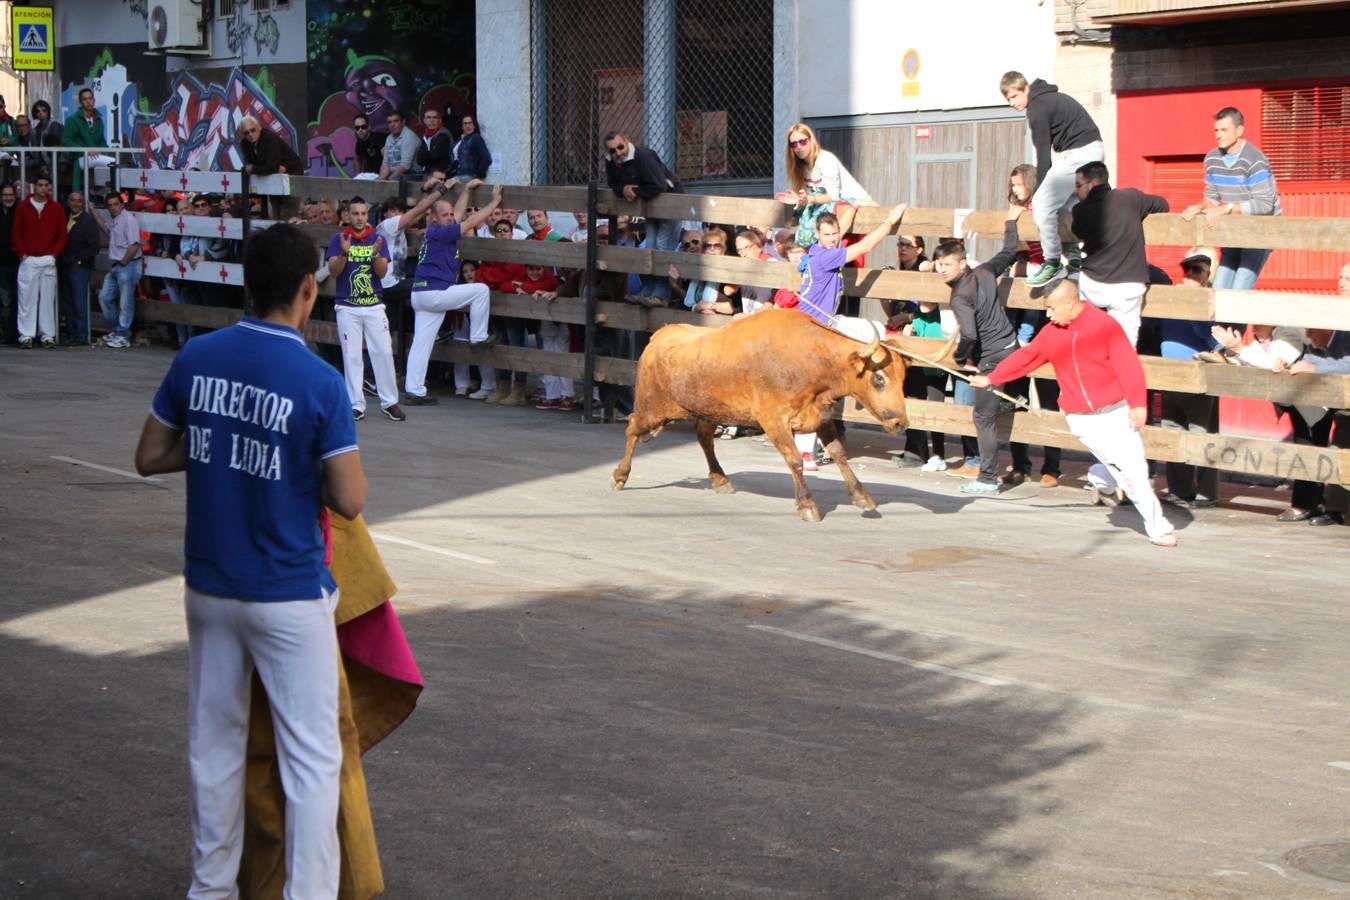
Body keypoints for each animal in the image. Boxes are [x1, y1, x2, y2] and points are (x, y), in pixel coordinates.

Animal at [610, 307, 907, 520]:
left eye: (903, 378)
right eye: (878, 378)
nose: (900, 422)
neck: (812, 360)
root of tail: (658, 336)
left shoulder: (821, 417)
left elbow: (839, 453)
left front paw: (861, 496)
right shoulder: (774, 420)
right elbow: (795, 459)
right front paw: (807, 505)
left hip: (708, 410)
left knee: (704, 437)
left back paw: (720, 479)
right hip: (653, 409)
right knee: (633, 427)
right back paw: (620, 476)